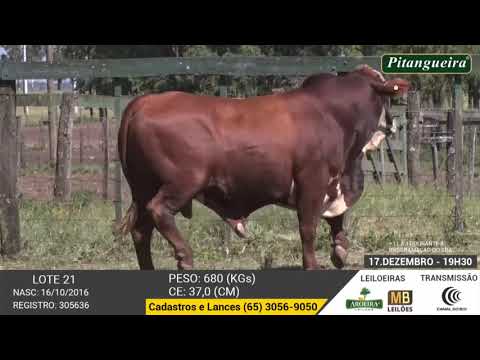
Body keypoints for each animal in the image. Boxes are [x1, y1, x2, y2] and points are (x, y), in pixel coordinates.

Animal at [115, 66, 408, 272]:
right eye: (387, 96)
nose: (393, 124)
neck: (333, 115)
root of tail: (146, 101)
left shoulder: (333, 183)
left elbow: (337, 218)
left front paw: (340, 251)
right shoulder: (312, 180)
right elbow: (308, 227)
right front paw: (313, 264)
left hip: (142, 187)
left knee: (141, 231)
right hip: (183, 182)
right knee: (159, 211)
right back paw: (185, 257)